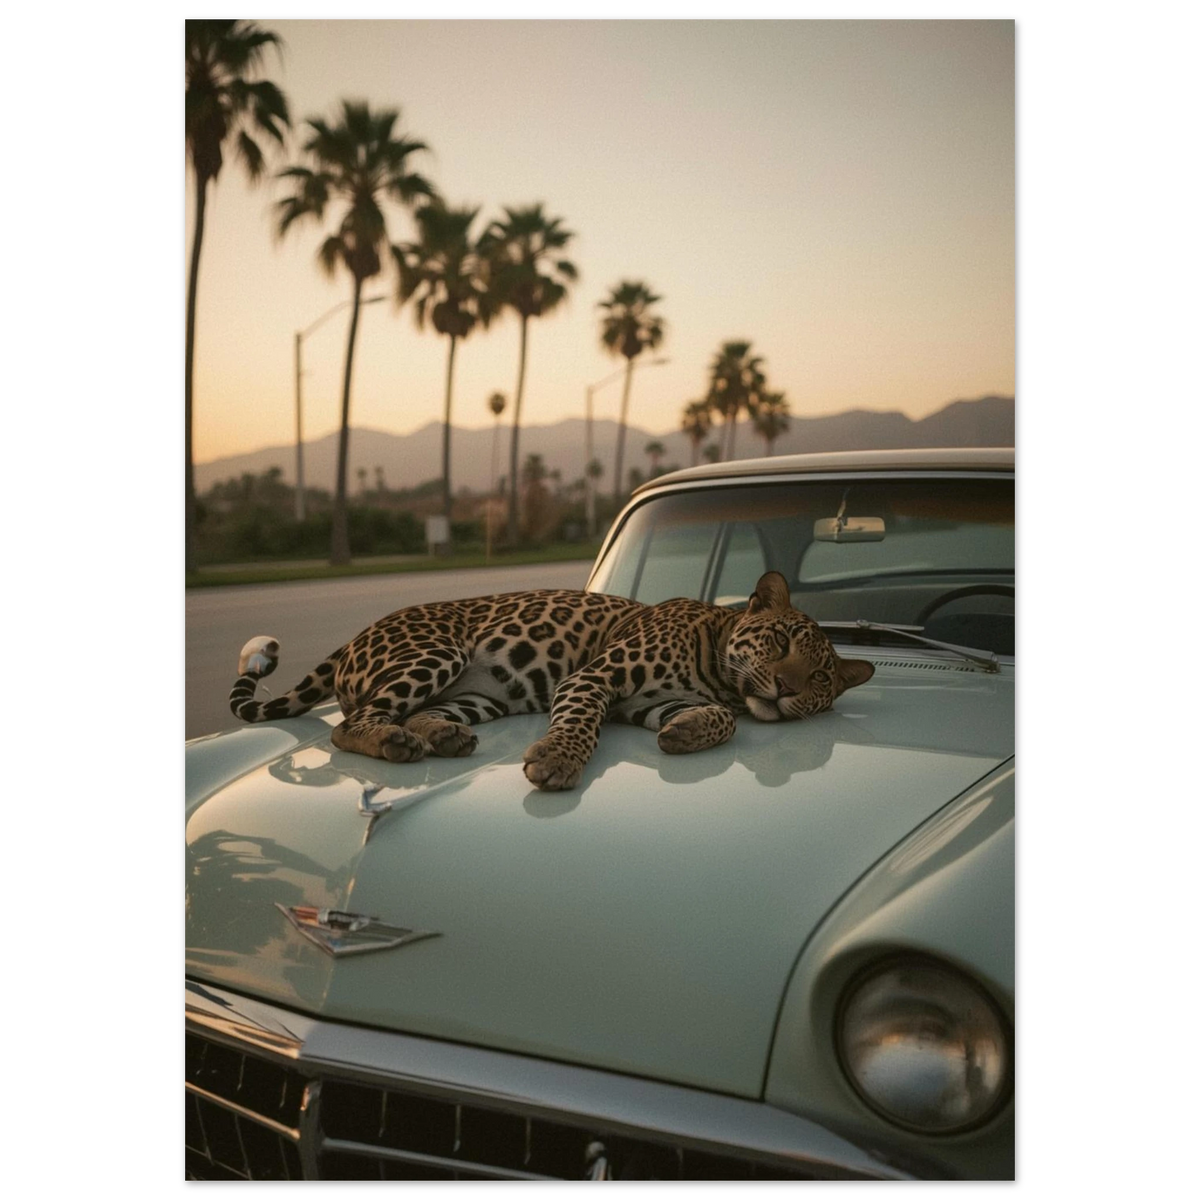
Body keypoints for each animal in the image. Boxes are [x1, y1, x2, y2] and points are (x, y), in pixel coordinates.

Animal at [229, 570, 875, 791]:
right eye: (782, 642)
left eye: (820, 675)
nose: (786, 688)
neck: (717, 669)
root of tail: (356, 634)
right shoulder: (597, 678)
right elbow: (580, 724)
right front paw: (558, 761)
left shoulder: (647, 705)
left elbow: (718, 721)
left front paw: (688, 734)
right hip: (437, 652)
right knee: (352, 725)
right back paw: (392, 742)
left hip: (476, 697)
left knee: (419, 713)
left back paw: (440, 738)